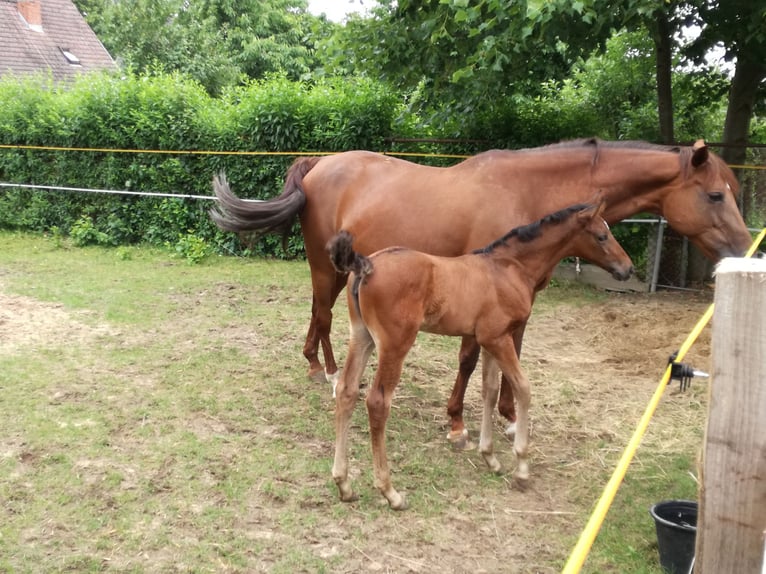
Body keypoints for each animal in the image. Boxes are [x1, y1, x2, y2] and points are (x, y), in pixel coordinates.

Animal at [210, 138, 753, 443]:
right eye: (715, 194)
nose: (745, 246)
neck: (528, 191)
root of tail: (319, 165)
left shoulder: (520, 298)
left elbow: (514, 352)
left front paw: (510, 416)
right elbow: (470, 358)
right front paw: (456, 420)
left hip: (340, 270)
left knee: (319, 315)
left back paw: (318, 364)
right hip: (326, 267)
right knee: (323, 314)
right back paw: (322, 371)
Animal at [325, 201, 633, 509]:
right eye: (601, 236)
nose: (628, 268)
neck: (510, 268)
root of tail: (366, 265)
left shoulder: (488, 340)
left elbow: (490, 390)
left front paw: (490, 458)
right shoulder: (499, 338)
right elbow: (522, 388)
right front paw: (522, 468)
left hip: (361, 336)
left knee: (346, 391)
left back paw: (344, 484)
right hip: (395, 344)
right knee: (377, 402)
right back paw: (390, 492)